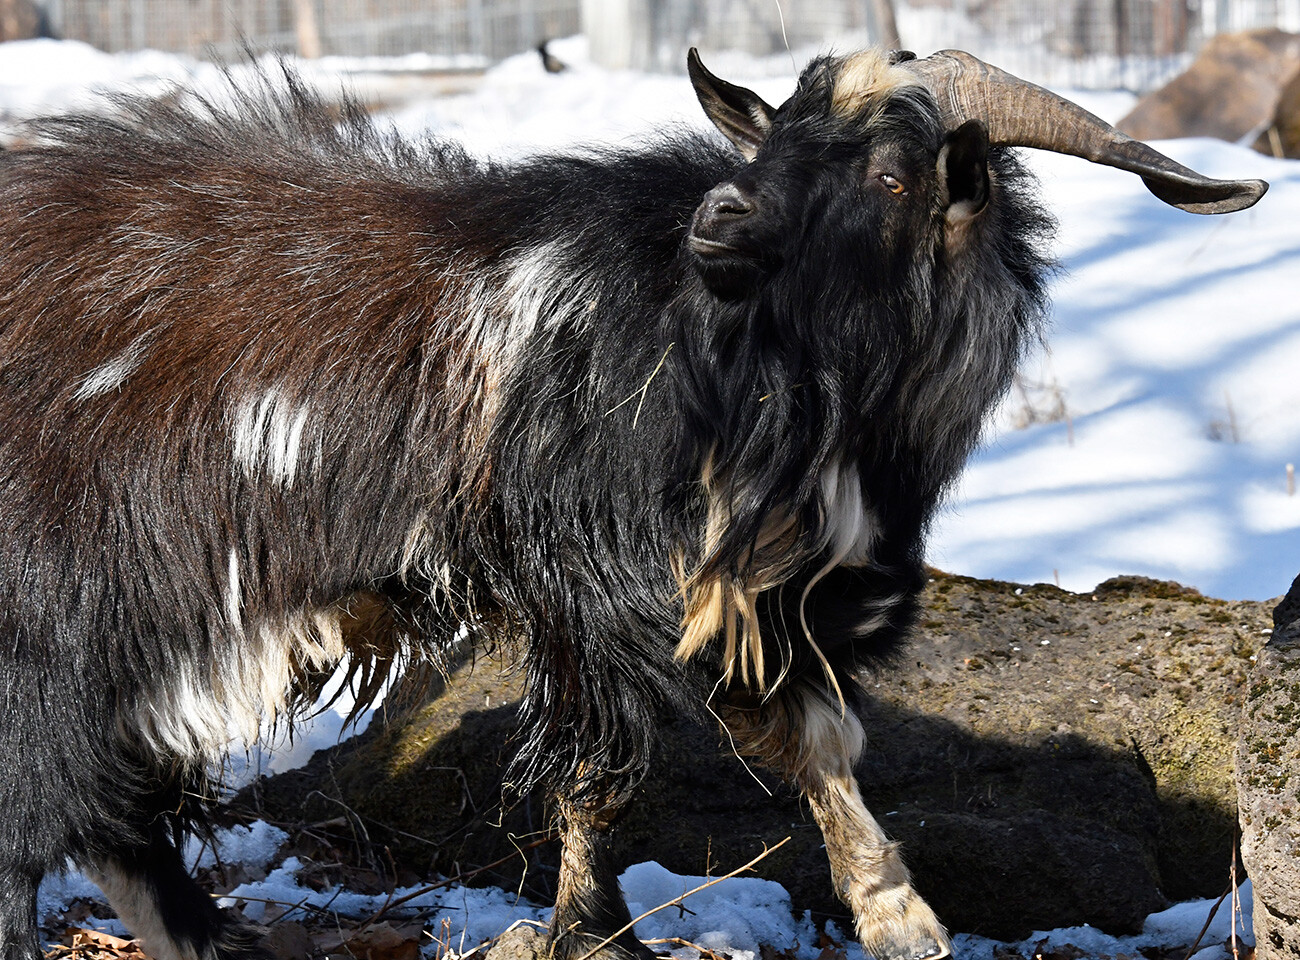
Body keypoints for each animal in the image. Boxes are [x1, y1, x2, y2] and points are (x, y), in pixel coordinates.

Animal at [0, 48, 1263, 957]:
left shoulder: (774, 591)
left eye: (891, 173)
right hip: (61, 609)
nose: (720, 218)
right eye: (778, 137)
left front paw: (893, 916)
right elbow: (606, 775)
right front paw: (595, 934)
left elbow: (811, 740)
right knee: (44, 806)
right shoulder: (598, 584)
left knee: (103, 810)